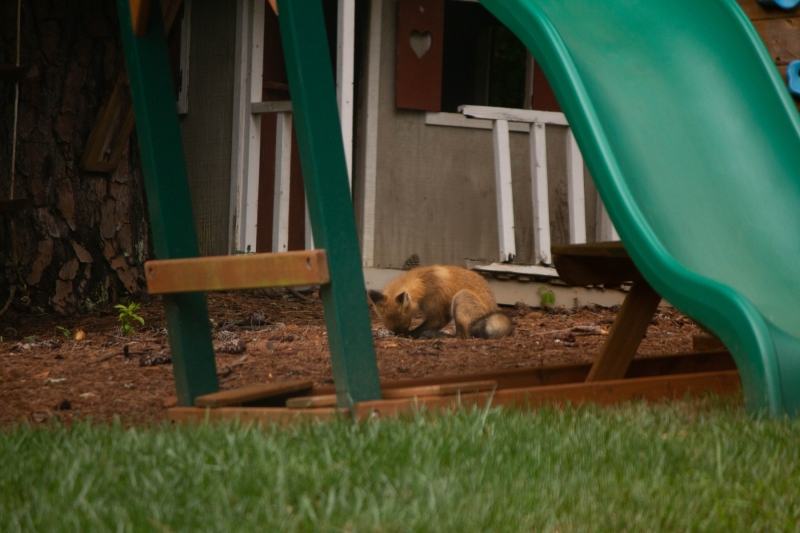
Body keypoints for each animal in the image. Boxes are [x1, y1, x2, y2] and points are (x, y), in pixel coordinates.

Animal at [367, 265, 513, 339]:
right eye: (392, 329)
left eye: (405, 326)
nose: (398, 336)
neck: (424, 283)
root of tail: (494, 309)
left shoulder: (439, 314)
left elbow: (422, 328)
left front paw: (410, 335)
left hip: (460, 297)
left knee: (462, 337)